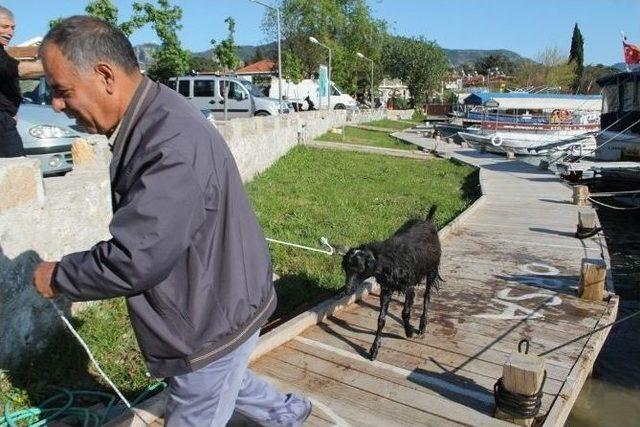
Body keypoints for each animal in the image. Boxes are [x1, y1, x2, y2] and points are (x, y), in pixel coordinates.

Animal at [342, 207, 442, 362]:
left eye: (360, 269)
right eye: (346, 269)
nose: (347, 290)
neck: (388, 260)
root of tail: (428, 221)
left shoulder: (409, 287)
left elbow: (405, 312)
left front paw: (409, 331)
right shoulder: (386, 289)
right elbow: (381, 319)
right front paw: (374, 350)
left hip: (432, 269)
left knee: (427, 296)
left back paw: (422, 325)